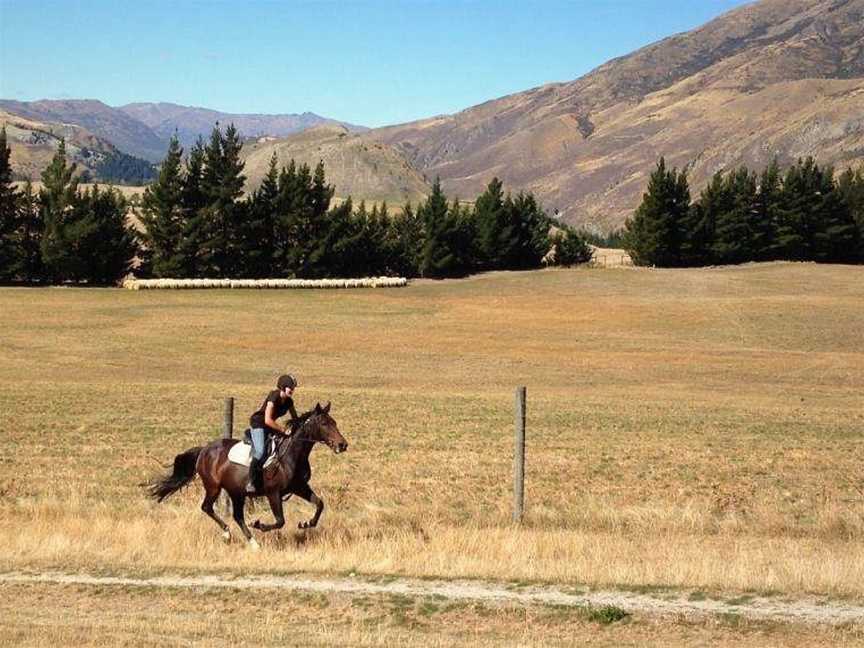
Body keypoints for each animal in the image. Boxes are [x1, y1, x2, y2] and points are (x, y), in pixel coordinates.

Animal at [148, 402, 348, 548]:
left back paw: (253, 543)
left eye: (335, 423)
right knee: (207, 507)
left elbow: (319, 504)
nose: (343, 445)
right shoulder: (273, 493)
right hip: (214, 487)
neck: (292, 455)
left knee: (237, 516)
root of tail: (204, 450)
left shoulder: (299, 487)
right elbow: (280, 521)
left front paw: (306, 523)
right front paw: (259, 524)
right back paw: (228, 534)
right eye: (324, 424)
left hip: (236, 492)